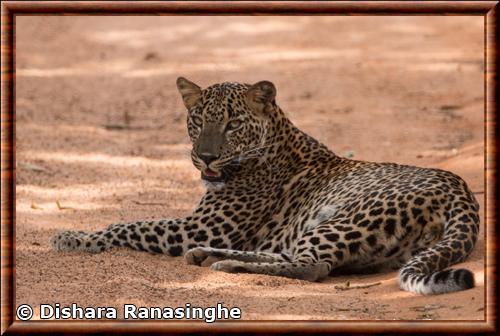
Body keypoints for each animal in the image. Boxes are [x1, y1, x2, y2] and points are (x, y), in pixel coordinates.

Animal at [50, 76, 480, 294]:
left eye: (232, 124)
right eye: (197, 121)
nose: (206, 157)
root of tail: (461, 192)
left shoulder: (200, 226)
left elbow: (127, 224)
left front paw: (73, 237)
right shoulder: (201, 226)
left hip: (348, 217)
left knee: (313, 266)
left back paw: (228, 263)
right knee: (295, 256)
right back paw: (210, 257)